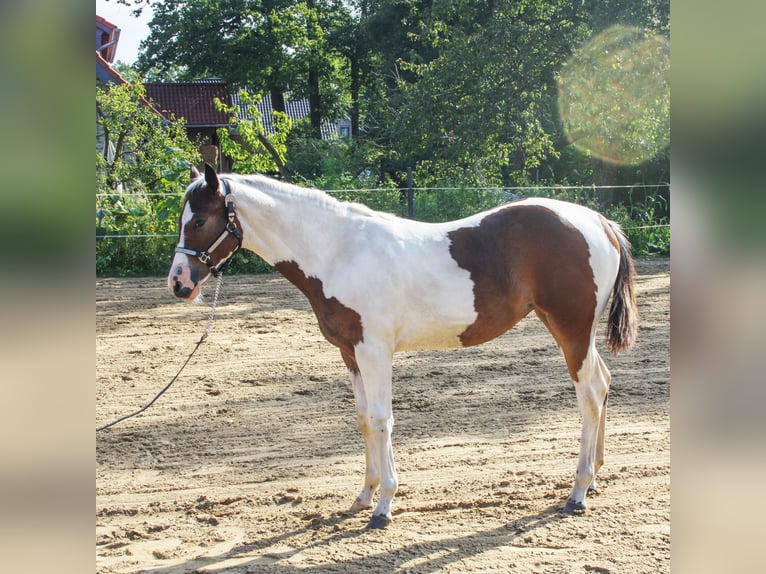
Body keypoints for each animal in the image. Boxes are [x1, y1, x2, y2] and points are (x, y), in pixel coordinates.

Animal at [170, 164, 640, 528]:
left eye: (199, 221)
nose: (179, 283)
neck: (339, 252)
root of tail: (600, 224)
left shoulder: (374, 350)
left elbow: (382, 420)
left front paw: (383, 506)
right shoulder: (350, 352)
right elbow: (363, 420)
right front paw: (364, 494)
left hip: (571, 329)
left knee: (589, 393)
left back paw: (577, 491)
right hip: (576, 332)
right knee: (604, 382)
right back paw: (596, 476)